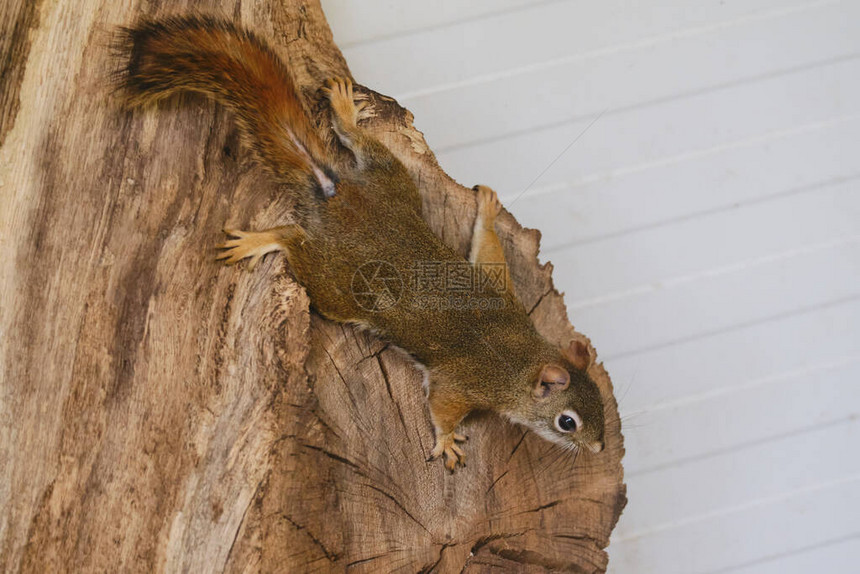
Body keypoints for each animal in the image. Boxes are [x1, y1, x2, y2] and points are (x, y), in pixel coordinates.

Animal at [117, 15, 604, 472]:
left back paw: (346, 112)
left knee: (359, 144)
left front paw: (486, 207)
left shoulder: (502, 289)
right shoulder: (463, 383)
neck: (522, 358)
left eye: (600, 402)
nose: (598, 448)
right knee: (293, 241)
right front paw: (447, 442)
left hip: (392, 180)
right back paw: (263, 238)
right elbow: (443, 409)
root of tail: (336, 192)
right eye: (567, 422)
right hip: (333, 285)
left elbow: (488, 253)